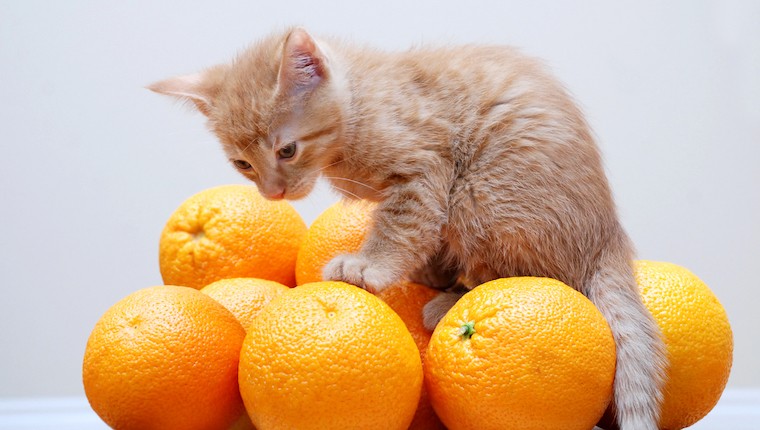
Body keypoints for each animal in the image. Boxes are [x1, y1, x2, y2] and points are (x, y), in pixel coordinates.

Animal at [151, 27, 668, 430]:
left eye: (287, 150)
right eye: (243, 164)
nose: (274, 192)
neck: (359, 105)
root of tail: (608, 234)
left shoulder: (424, 168)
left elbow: (402, 227)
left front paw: (370, 267)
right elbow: (423, 231)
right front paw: (426, 267)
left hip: (480, 193)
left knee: (544, 276)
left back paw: (449, 302)